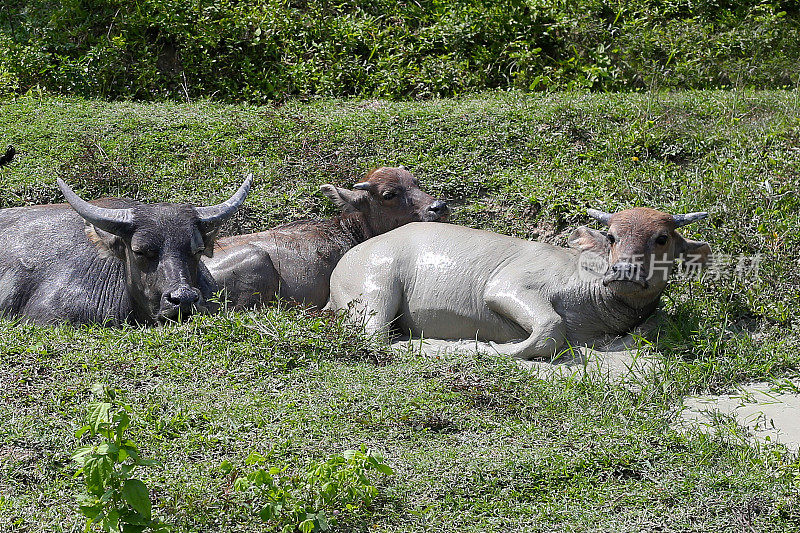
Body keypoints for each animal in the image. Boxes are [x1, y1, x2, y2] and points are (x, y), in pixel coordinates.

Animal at [330, 206, 712, 360]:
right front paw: (484, 347)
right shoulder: (507, 287)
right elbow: (551, 328)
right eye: (612, 236)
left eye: (662, 238)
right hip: (375, 289)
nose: (623, 271)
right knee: (375, 337)